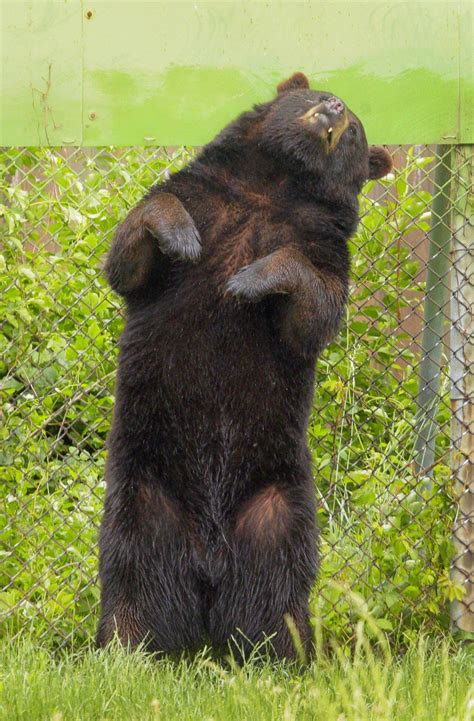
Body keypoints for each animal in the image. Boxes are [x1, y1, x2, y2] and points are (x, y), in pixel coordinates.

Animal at [97, 72, 392, 661]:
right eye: (313, 94)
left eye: (354, 128)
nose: (335, 106)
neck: (274, 187)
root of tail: (208, 561)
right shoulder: (205, 194)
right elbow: (134, 247)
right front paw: (182, 238)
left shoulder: (320, 243)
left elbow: (313, 307)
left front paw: (250, 278)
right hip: (143, 490)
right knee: (135, 570)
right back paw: (127, 645)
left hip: (277, 501)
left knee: (275, 581)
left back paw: (279, 652)